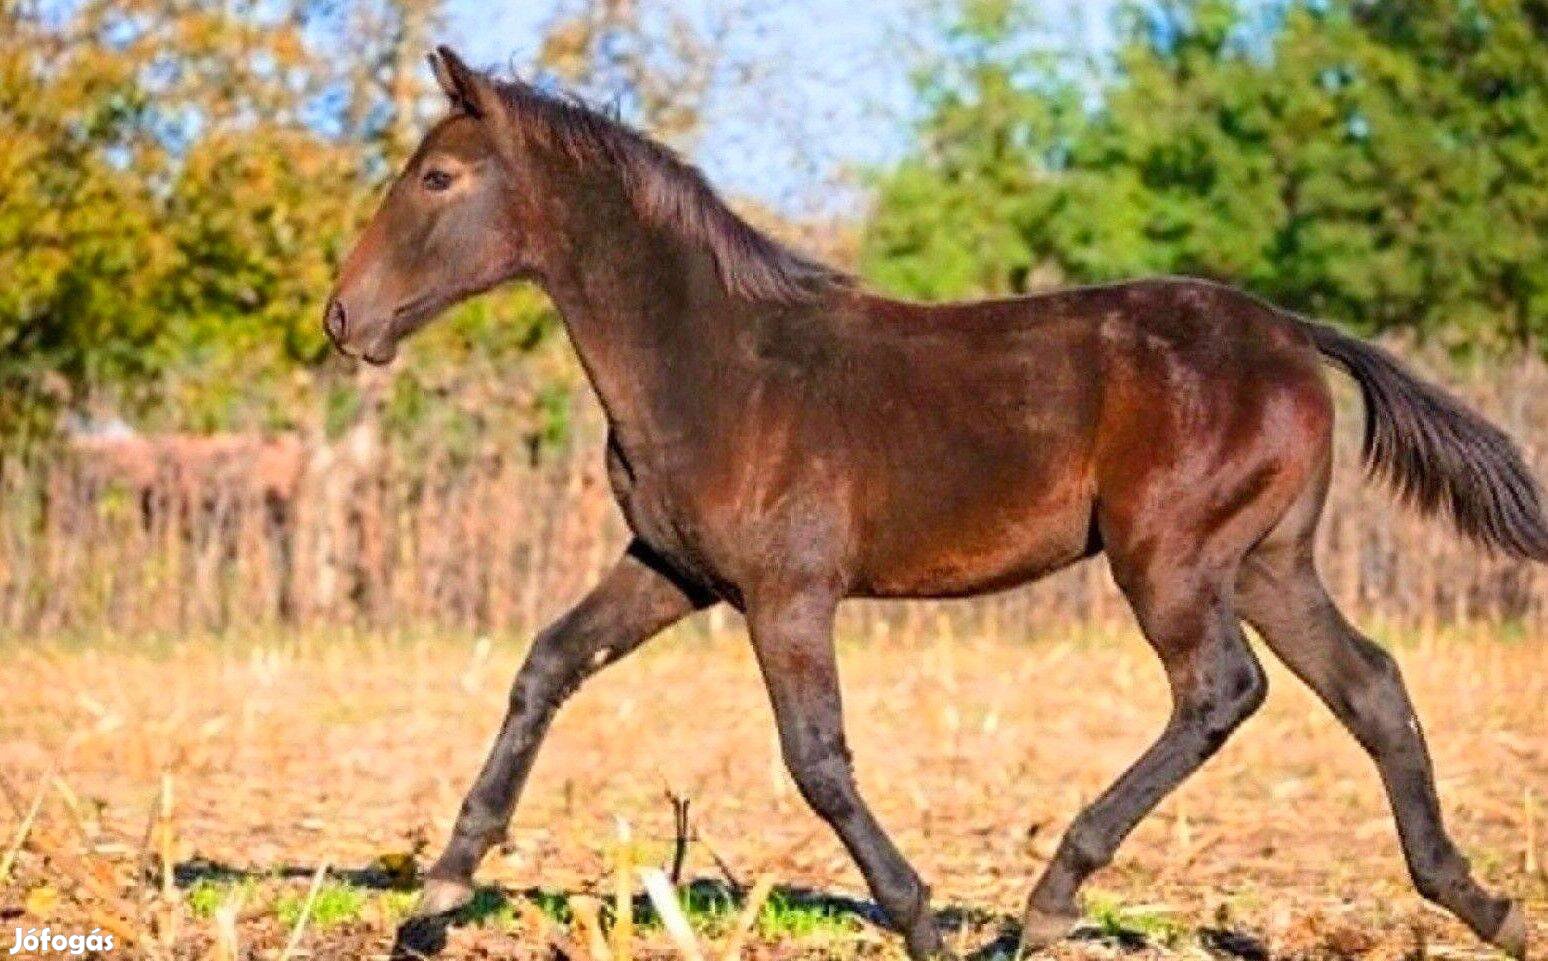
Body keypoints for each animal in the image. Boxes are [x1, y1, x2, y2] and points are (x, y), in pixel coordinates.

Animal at [323, 48, 1535, 959]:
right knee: (1370, 685)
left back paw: (1047, 902)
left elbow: (816, 758)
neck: (717, 362)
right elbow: (546, 666)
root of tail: (1292, 332)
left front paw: (919, 921)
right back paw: (1481, 901)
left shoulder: (788, 592)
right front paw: (430, 906)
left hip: (1173, 557)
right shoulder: (671, 572)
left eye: (437, 179)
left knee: (1221, 691)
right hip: (1271, 561)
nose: (344, 318)